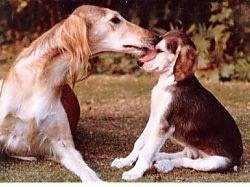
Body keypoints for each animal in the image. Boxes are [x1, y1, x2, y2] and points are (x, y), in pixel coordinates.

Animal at [111, 30, 242, 180]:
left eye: (160, 51)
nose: (139, 62)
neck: (169, 81)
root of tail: (238, 157)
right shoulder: (155, 117)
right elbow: (140, 143)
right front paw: (125, 161)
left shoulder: (163, 123)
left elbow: (146, 151)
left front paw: (135, 172)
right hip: (192, 149)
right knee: (187, 156)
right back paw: (160, 157)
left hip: (216, 162)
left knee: (189, 162)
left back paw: (164, 164)